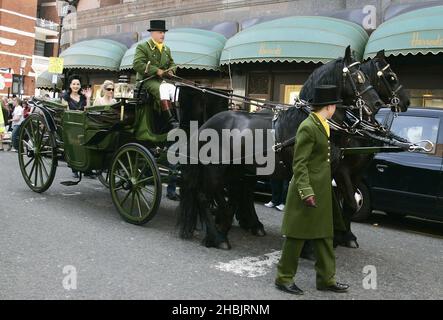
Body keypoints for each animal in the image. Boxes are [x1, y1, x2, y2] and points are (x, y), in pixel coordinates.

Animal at [177, 46, 386, 249]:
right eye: (358, 77)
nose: (377, 103)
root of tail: (206, 124)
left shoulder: (334, 172)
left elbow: (338, 203)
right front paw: (313, 246)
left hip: (235, 169)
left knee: (230, 197)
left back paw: (226, 228)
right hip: (215, 168)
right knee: (205, 197)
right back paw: (218, 237)